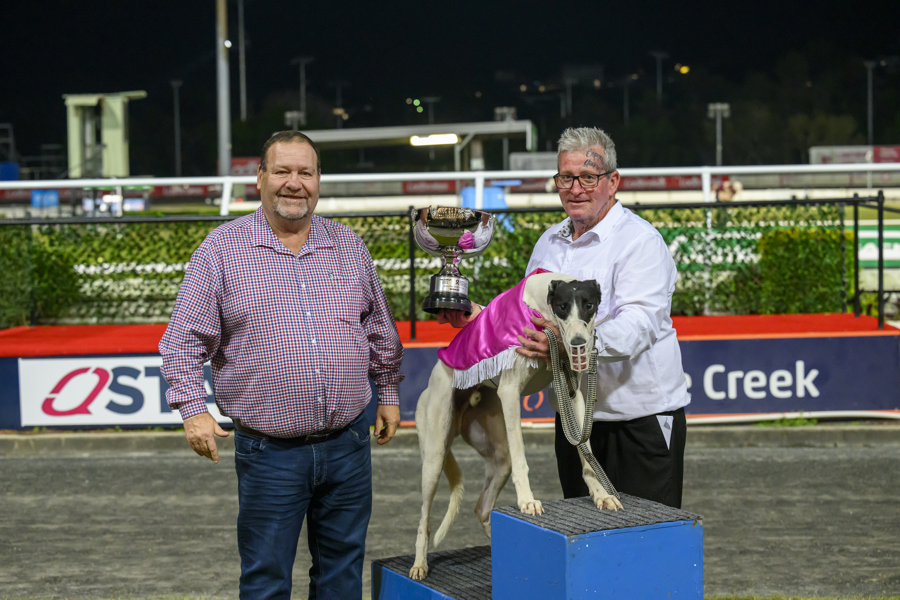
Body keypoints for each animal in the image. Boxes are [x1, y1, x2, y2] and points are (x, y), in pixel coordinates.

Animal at [409, 271, 623, 581]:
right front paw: (527, 501)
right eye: (562, 307)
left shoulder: (573, 394)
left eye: (589, 305)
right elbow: (522, 457)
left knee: (482, 507)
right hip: (435, 456)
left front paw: (602, 495)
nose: (579, 343)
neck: (539, 306)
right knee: (424, 519)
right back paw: (419, 564)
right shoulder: (509, 393)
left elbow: (586, 451)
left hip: (498, 456)